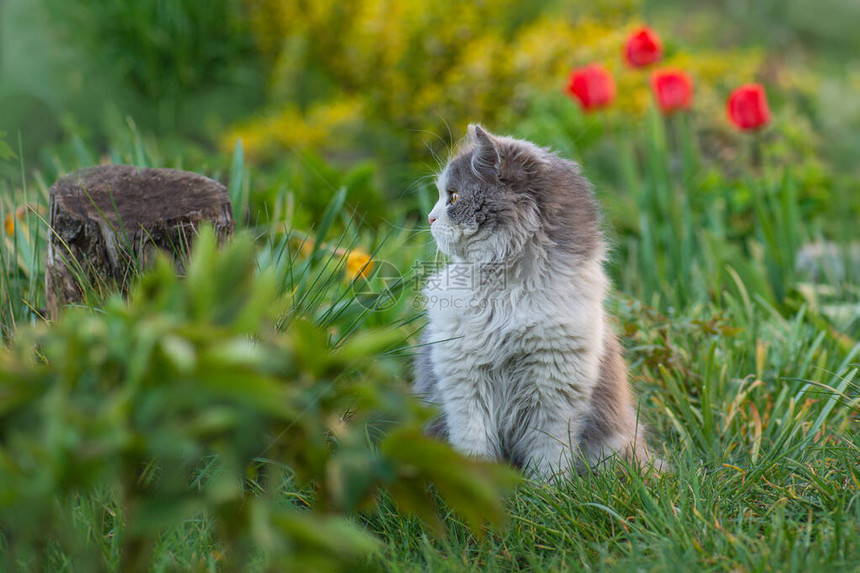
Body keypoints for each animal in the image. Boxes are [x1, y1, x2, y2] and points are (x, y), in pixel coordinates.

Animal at [414, 124, 656, 478]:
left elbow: (548, 454)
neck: (508, 293)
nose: (429, 218)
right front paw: (479, 486)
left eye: (453, 197)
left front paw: (545, 489)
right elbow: (474, 447)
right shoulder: (464, 383)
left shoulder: (555, 387)